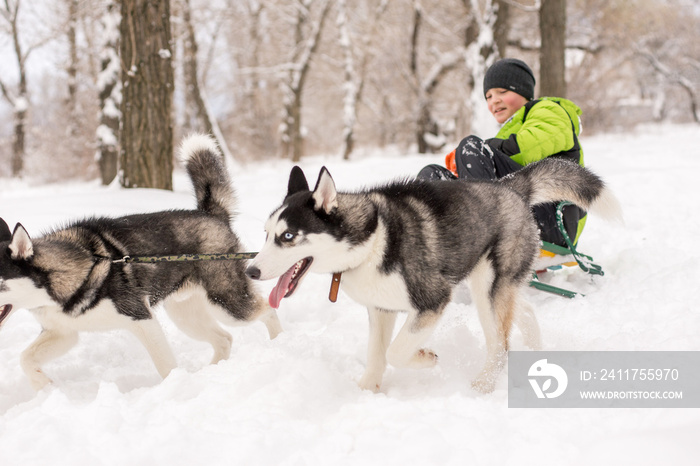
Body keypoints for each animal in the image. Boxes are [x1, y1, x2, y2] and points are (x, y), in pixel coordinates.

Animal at [3, 135, 282, 390]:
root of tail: (210, 214)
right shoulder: (63, 332)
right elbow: (25, 359)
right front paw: (45, 387)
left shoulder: (141, 318)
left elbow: (166, 366)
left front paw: (172, 390)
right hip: (186, 315)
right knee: (224, 339)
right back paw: (211, 372)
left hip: (227, 303)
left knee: (267, 310)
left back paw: (279, 342)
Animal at [246, 160, 616, 394]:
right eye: (265, 234)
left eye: (288, 236)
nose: (251, 270)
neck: (372, 240)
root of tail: (510, 186)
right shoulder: (380, 309)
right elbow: (377, 355)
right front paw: (367, 391)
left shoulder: (433, 300)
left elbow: (396, 352)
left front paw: (425, 358)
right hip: (494, 285)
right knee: (523, 312)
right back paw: (537, 358)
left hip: (486, 289)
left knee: (500, 343)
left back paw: (484, 384)